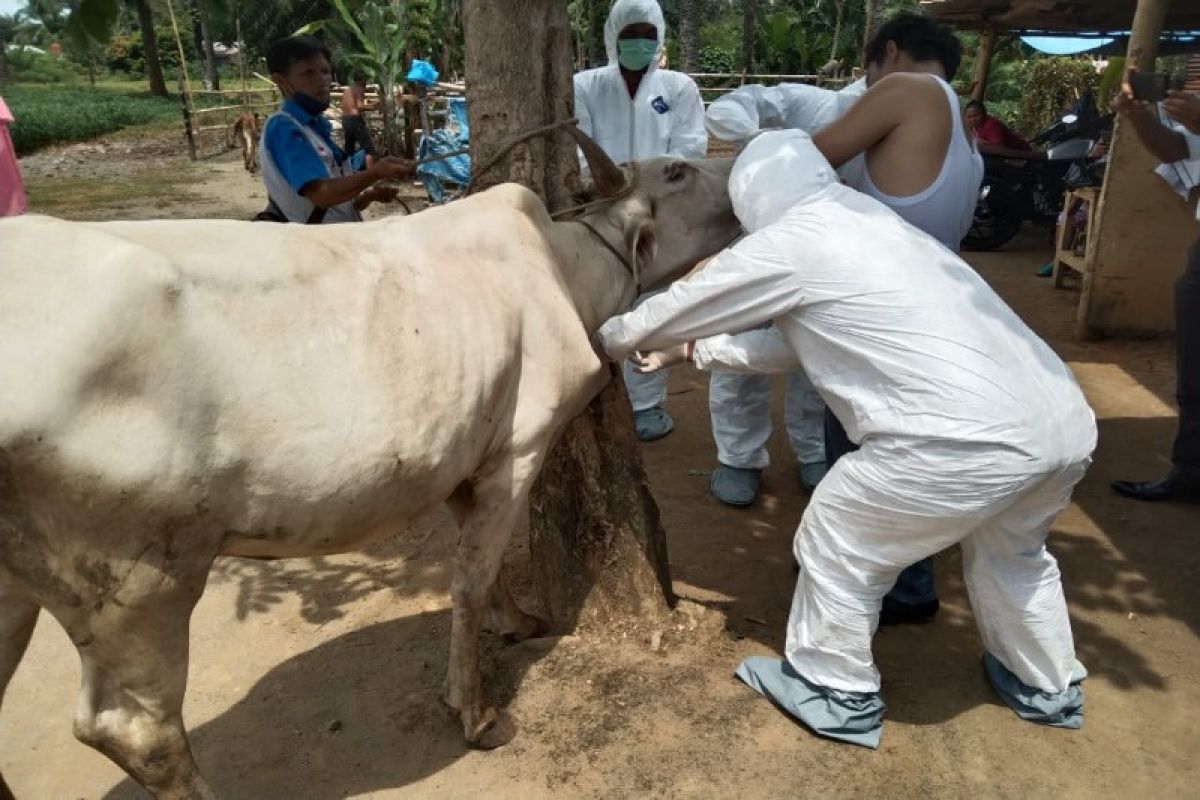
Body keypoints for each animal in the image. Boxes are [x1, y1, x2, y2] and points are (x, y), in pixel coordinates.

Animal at [0, 133, 739, 800]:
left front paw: (515, 623)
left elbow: (478, 567)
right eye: (676, 170)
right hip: (140, 579)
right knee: (138, 734)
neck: (565, 264)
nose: (739, 171)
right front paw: (473, 710)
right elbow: (471, 579)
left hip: (24, 588)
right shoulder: (519, 448)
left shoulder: (459, 454)